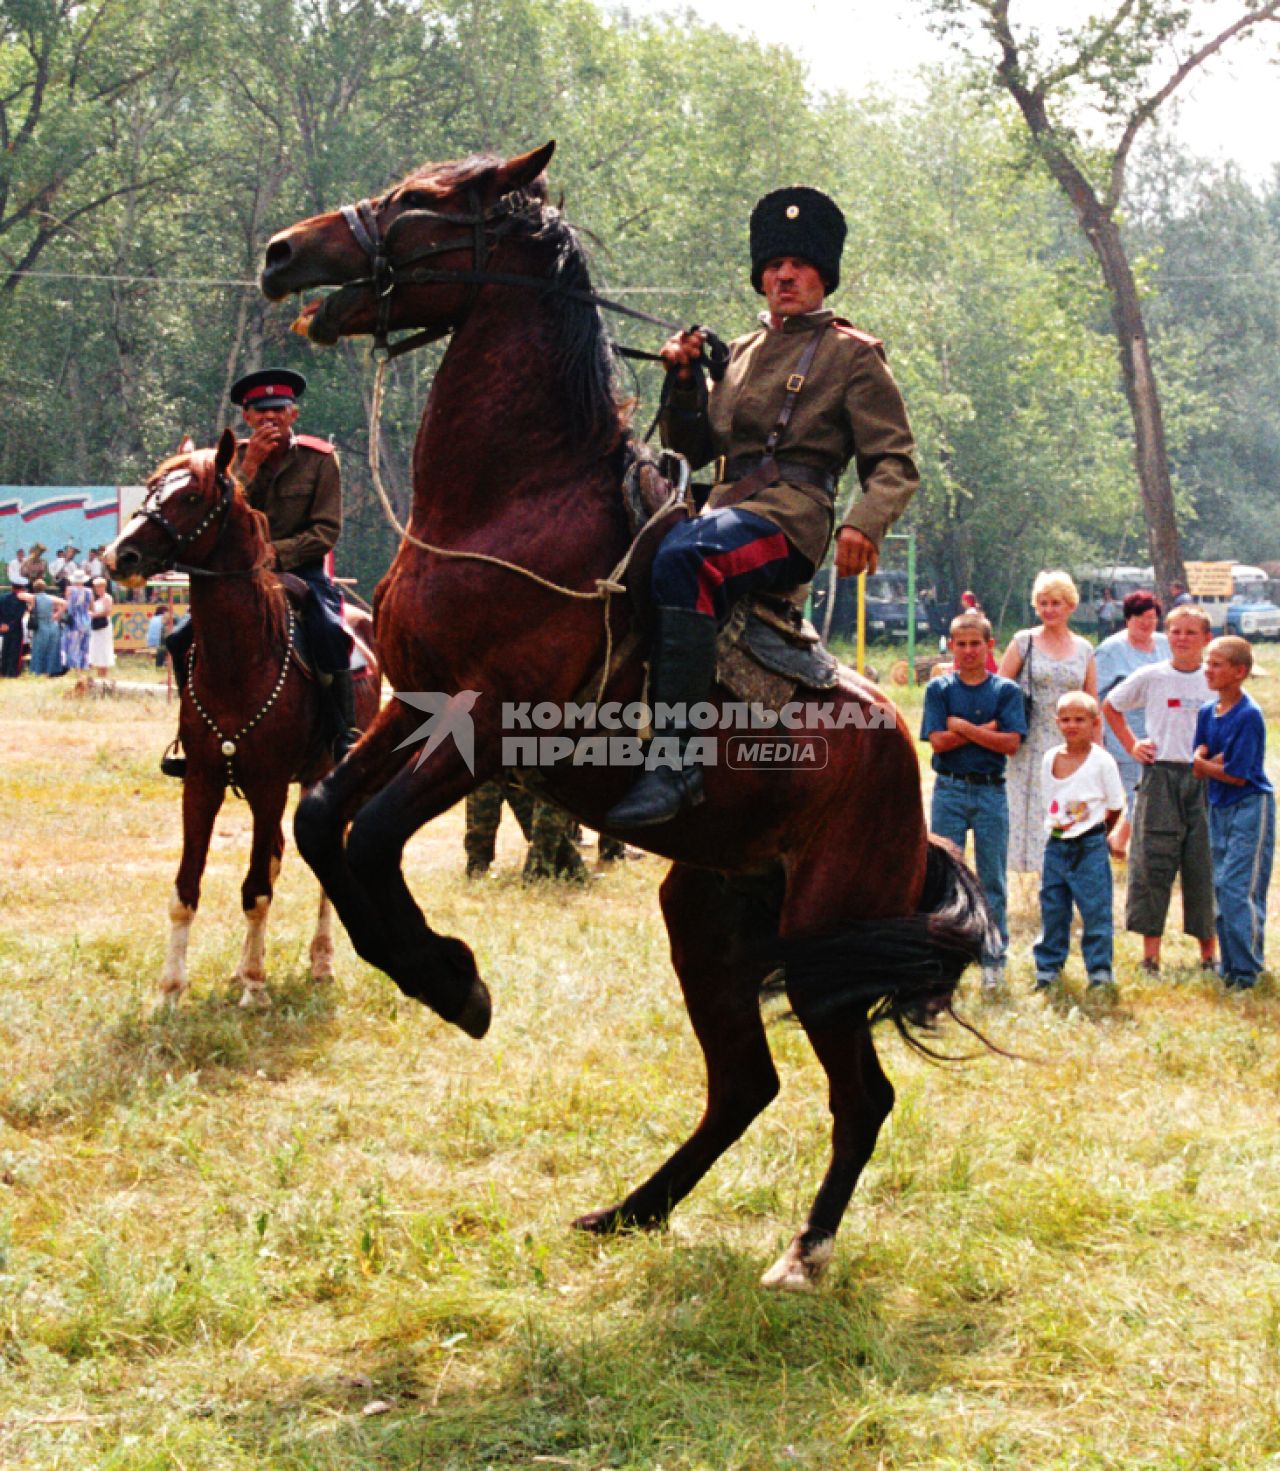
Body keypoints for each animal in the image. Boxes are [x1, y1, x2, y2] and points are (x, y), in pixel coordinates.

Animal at [102, 432, 382, 1012]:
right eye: (150, 488)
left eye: (190, 497)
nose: (120, 555)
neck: (242, 657)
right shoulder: (202, 782)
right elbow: (187, 889)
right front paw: (171, 990)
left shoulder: (269, 784)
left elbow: (256, 889)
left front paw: (255, 986)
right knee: (273, 856)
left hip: (324, 777)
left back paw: (320, 962)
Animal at [263, 146, 1000, 1288]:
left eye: (421, 201)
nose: (281, 253)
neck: (512, 501)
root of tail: (906, 795)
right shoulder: (413, 707)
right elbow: (320, 821)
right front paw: (434, 971)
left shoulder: (487, 727)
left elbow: (374, 835)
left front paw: (451, 979)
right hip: (705, 915)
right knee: (745, 1084)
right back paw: (631, 1209)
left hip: (824, 945)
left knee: (859, 1095)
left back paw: (803, 1249)